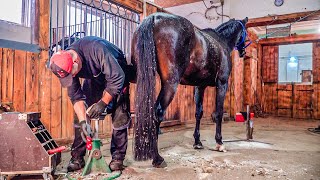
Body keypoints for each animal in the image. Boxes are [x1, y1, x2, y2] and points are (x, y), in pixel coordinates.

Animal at [131, 12, 250, 167]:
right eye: (246, 33)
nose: (243, 52)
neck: (222, 42)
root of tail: (154, 18)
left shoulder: (200, 86)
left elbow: (199, 113)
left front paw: (197, 142)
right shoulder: (222, 83)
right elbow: (218, 113)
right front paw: (219, 143)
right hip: (170, 83)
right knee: (157, 113)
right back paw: (157, 158)